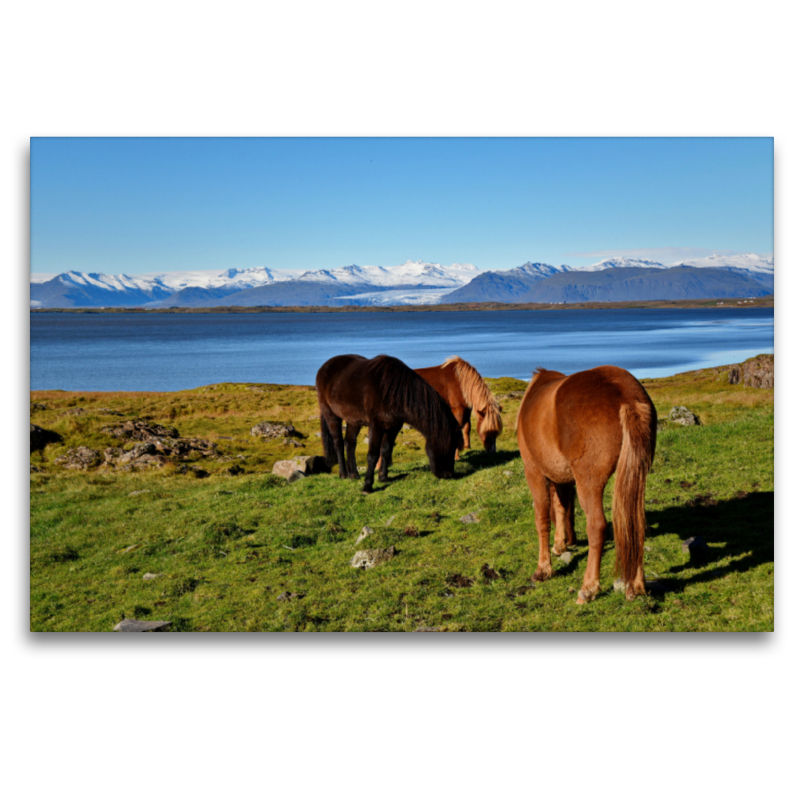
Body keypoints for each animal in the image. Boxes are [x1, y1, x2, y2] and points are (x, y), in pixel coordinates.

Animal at [314, 352, 462, 490]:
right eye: (450, 445)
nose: (448, 474)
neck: (392, 391)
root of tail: (324, 367)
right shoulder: (376, 425)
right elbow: (373, 455)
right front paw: (367, 486)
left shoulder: (394, 426)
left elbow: (386, 450)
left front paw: (383, 477)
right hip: (331, 414)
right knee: (338, 443)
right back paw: (343, 474)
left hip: (354, 420)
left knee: (350, 443)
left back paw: (354, 474)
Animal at [516, 366, 660, 604]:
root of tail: (625, 394)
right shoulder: (562, 477)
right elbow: (561, 507)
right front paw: (560, 545)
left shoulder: (534, 472)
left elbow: (542, 519)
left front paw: (543, 568)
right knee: (634, 523)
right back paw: (637, 585)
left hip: (589, 483)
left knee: (597, 526)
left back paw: (588, 588)